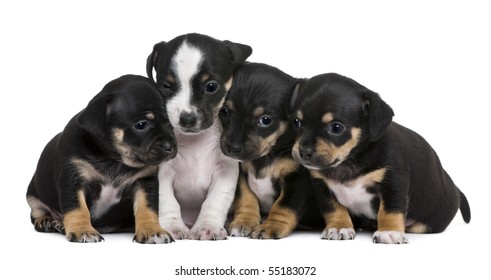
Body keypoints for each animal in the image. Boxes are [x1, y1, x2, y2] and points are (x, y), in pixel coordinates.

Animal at [26, 74, 177, 243]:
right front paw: (83, 230)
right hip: (33, 194)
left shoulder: (145, 182)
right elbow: (77, 208)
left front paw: (152, 230)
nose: (171, 146)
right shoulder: (73, 179)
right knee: (37, 210)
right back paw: (48, 221)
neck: (113, 159)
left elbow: (147, 208)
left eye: (171, 124)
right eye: (141, 125)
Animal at [146, 32, 254, 238]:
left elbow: (214, 201)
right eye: (166, 86)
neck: (195, 141)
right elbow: (166, 200)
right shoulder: (163, 172)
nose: (187, 118)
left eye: (211, 86)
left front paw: (207, 226)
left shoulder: (225, 173)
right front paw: (172, 227)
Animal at [219, 63, 322, 238]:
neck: (265, 156)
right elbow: (246, 198)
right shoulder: (241, 175)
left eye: (265, 120)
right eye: (224, 111)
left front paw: (271, 226)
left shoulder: (297, 182)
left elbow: (282, 206)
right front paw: (244, 221)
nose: (233, 147)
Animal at [290, 73, 470, 244]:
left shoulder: (392, 184)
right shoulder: (321, 187)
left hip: (428, 223)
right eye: (297, 122)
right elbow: (333, 208)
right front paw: (339, 226)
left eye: (336, 127)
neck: (349, 160)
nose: (304, 152)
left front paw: (389, 231)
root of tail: (454, 188)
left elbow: (390, 210)